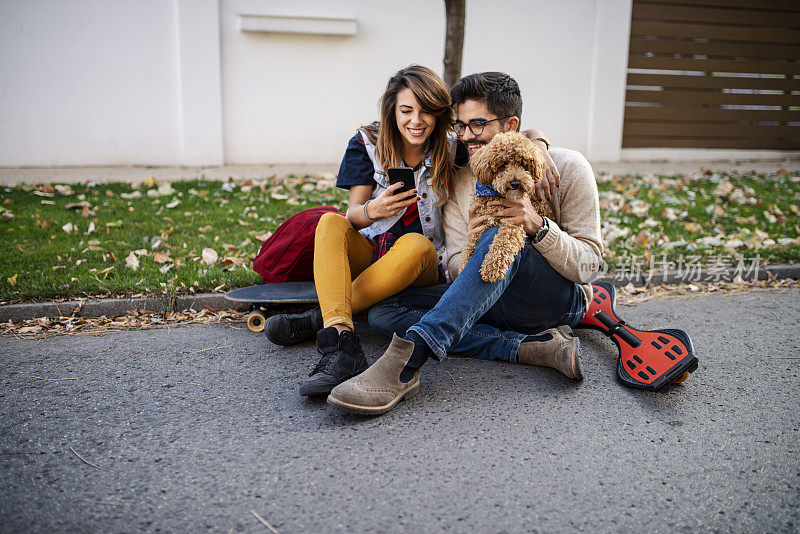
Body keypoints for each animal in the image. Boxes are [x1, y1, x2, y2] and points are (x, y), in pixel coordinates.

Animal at [460, 132, 552, 284]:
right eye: (503, 164)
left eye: (522, 164)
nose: (515, 183)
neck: (495, 194)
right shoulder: (479, 224)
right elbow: (469, 247)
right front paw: (464, 265)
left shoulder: (514, 224)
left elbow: (503, 243)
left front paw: (491, 268)